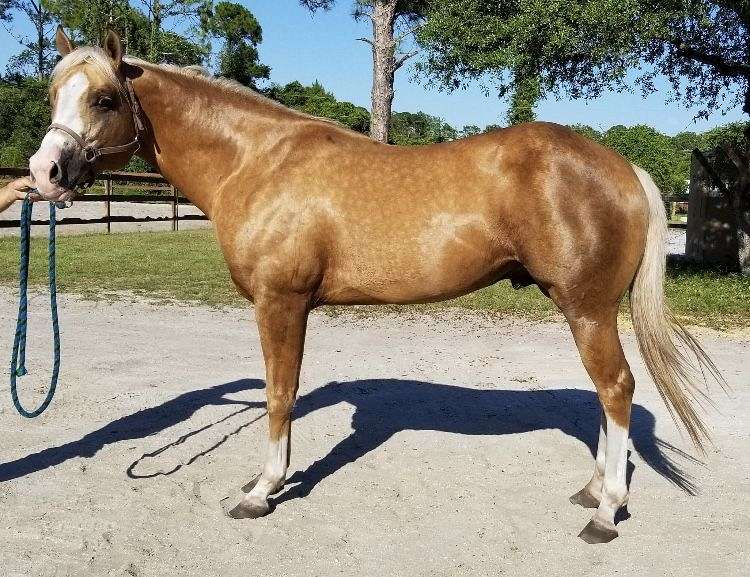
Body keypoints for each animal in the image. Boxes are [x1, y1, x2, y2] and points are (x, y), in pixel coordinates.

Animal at [29, 27, 722, 544]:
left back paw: (607, 511)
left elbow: (280, 395)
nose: (44, 172)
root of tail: (624, 167)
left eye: (105, 99)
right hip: (586, 309)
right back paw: (594, 488)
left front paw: (262, 490)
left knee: (617, 388)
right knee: (606, 395)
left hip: (587, 309)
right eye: (54, 92)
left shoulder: (281, 304)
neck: (258, 162)